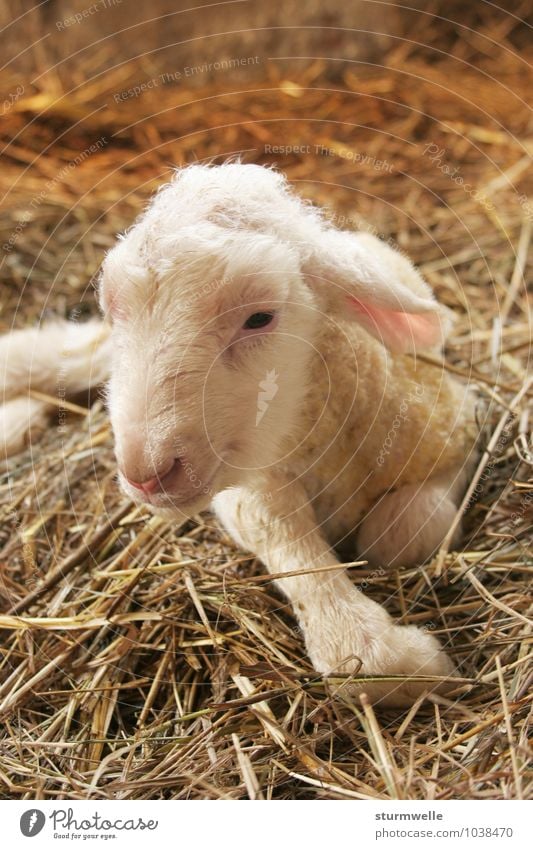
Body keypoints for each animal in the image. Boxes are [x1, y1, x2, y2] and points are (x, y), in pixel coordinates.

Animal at [0, 162, 476, 704]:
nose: (146, 472)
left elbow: (403, 534)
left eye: (259, 318)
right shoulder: (252, 485)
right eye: (114, 308)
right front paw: (378, 655)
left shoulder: (459, 429)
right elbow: (275, 531)